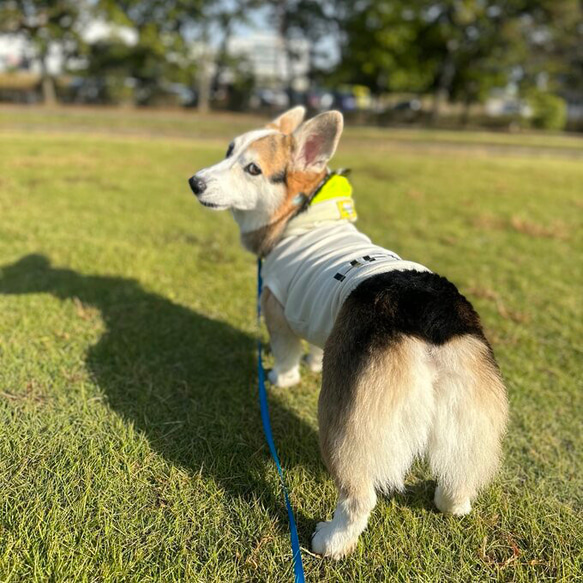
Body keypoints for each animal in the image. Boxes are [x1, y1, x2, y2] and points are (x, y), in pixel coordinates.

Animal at [189, 108, 508, 560]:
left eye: (252, 169)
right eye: (228, 151)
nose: (194, 182)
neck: (299, 214)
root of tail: (428, 316)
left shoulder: (278, 311)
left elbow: (286, 354)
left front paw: (281, 378)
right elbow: (315, 348)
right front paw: (311, 363)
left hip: (344, 424)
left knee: (359, 496)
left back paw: (331, 540)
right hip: (468, 416)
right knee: (460, 474)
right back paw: (451, 504)